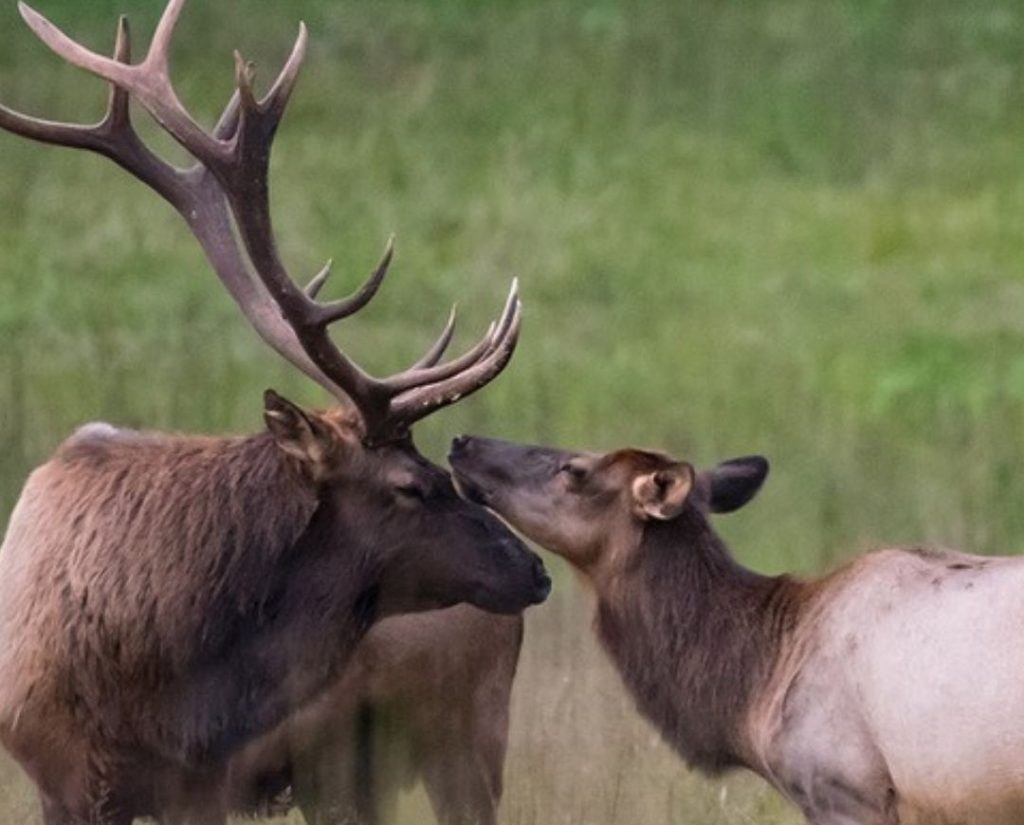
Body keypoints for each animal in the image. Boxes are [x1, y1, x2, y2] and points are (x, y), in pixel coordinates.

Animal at [0, 2, 552, 823]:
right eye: (411, 485)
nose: (535, 569)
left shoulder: (202, 781)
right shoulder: (58, 777)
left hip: (457, 734)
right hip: (351, 772)